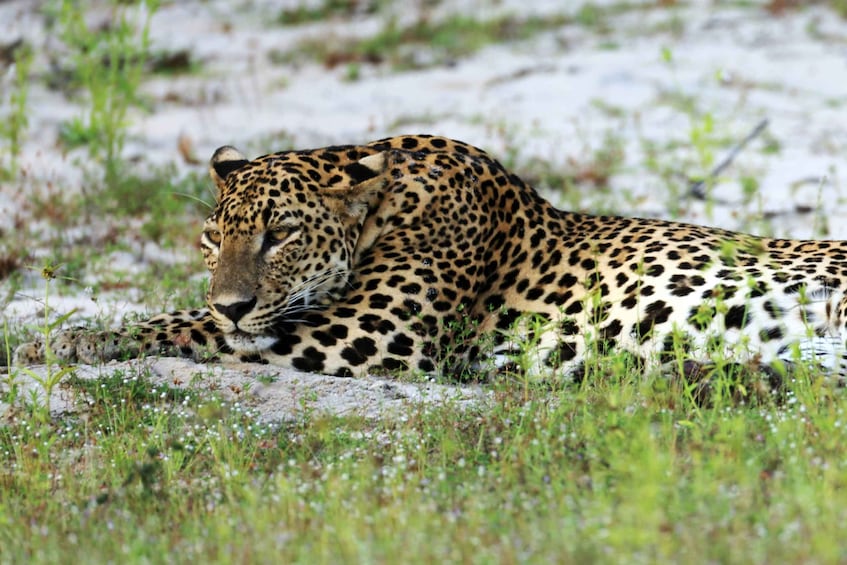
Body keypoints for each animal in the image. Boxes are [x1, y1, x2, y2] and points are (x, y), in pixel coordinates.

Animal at [14, 134, 847, 380]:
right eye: (213, 240)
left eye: (280, 234)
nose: (235, 300)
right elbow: (196, 318)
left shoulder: (373, 331)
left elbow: (187, 324)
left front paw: (70, 337)